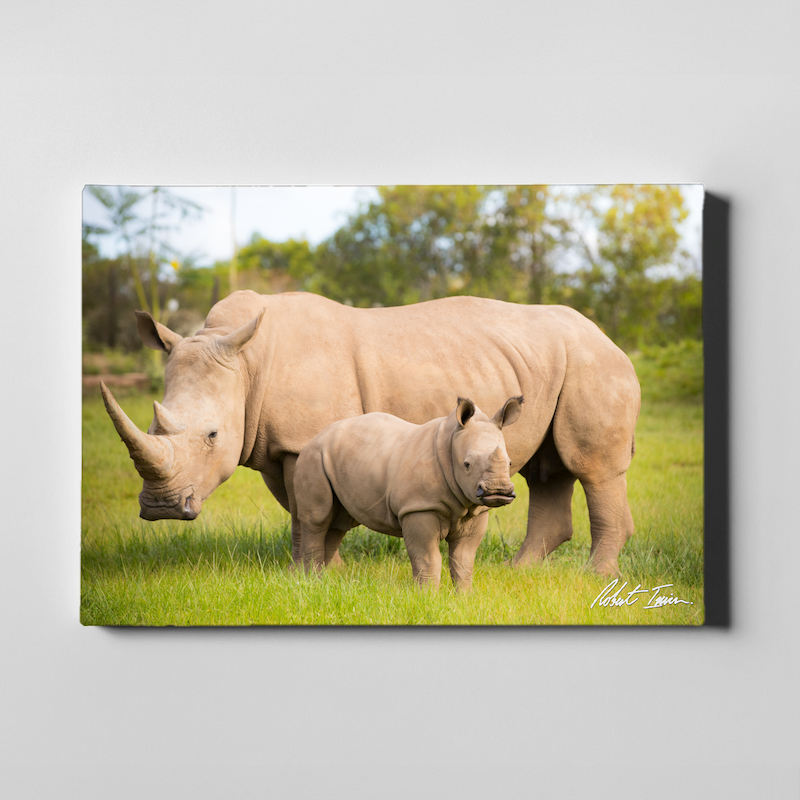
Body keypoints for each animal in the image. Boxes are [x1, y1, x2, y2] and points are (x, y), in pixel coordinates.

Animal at [295, 397, 523, 589]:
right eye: (467, 465)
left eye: (510, 462)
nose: (498, 490)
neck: (450, 442)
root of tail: (316, 437)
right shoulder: (418, 507)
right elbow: (428, 558)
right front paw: (427, 597)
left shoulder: (476, 510)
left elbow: (463, 560)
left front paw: (464, 598)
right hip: (313, 456)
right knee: (318, 520)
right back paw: (312, 582)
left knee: (338, 523)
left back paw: (325, 580)